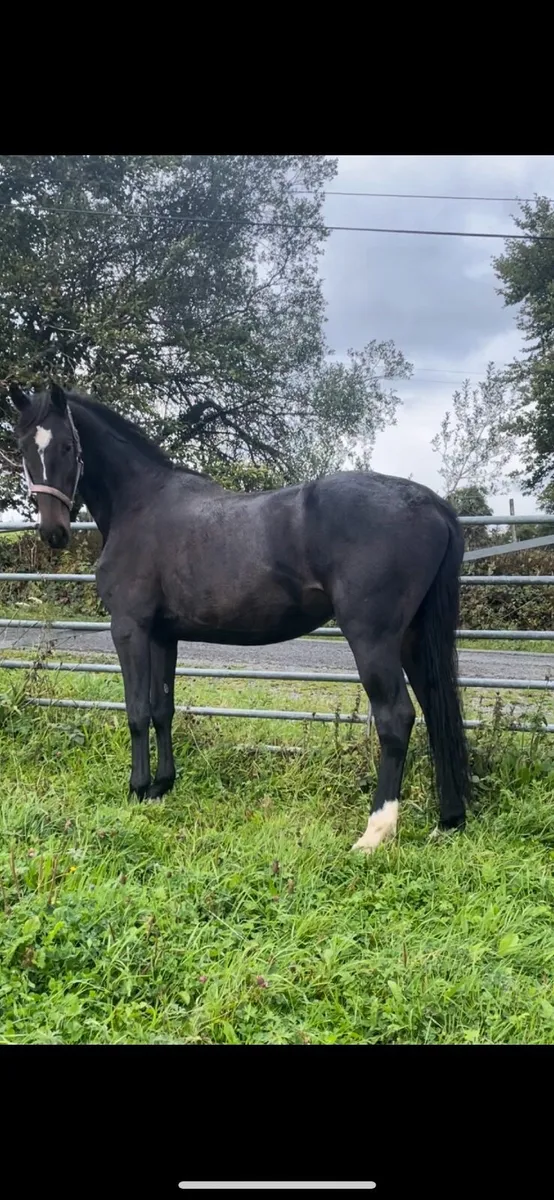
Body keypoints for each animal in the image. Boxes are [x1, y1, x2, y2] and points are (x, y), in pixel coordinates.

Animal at [8, 382, 471, 853]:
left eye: (67, 445)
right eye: (22, 446)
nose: (53, 532)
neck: (139, 504)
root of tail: (431, 503)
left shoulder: (130, 628)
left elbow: (136, 709)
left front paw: (137, 789)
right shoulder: (163, 636)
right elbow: (161, 708)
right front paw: (161, 786)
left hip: (372, 639)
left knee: (397, 717)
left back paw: (375, 832)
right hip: (413, 638)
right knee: (437, 711)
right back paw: (449, 819)